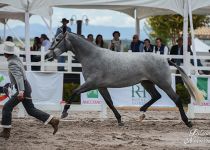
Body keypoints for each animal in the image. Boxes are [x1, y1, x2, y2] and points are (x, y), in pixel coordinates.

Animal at [45, 32, 203, 127]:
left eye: (57, 39)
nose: (47, 55)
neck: (92, 56)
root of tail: (165, 59)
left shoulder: (91, 83)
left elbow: (74, 92)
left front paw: (64, 113)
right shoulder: (101, 86)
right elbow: (109, 102)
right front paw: (120, 120)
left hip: (163, 83)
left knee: (176, 99)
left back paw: (188, 122)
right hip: (146, 83)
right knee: (156, 96)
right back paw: (141, 113)